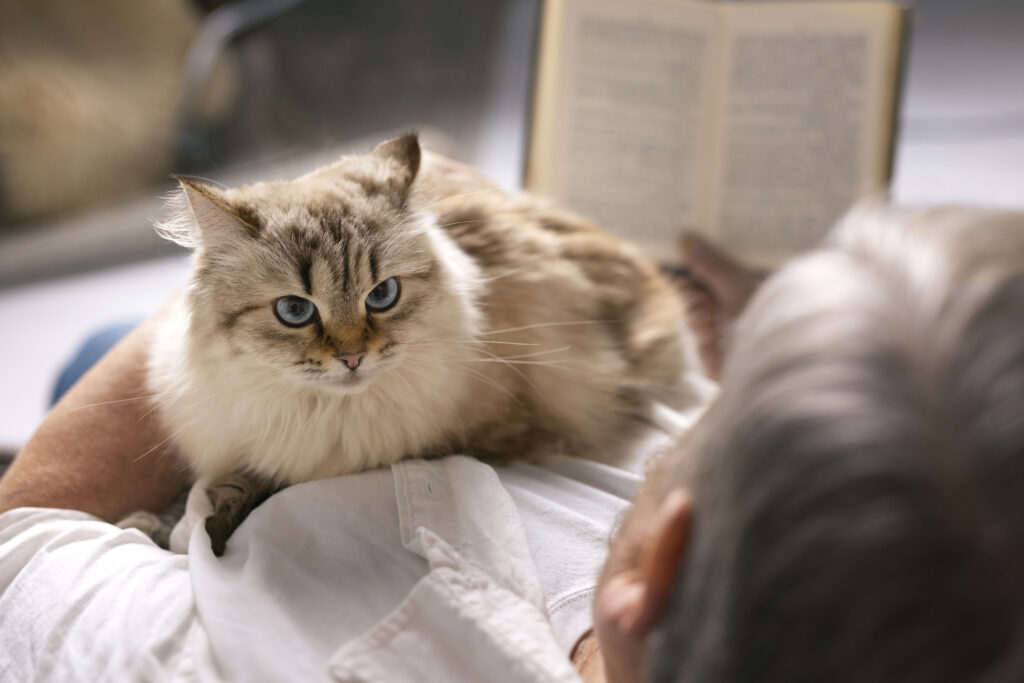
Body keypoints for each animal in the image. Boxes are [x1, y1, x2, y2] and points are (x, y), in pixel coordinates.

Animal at [123, 135, 708, 557]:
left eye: (382, 296)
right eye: (294, 311)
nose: (352, 358)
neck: (322, 413)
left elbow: (251, 491)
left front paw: (203, 524)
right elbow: (200, 494)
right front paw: (158, 524)